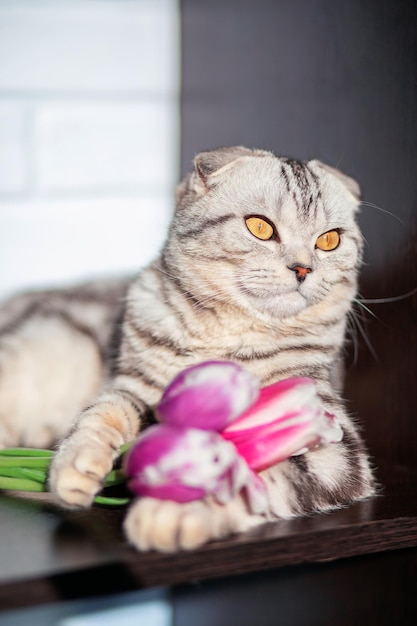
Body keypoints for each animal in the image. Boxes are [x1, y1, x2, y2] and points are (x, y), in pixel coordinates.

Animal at [0, 146, 372, 552]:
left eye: (329, 240)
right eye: (260, 227)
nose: (303, 269)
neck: (222, 337)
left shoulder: (336, 449)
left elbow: (249, 478)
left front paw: (169, 513)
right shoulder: (137, 388)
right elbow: (101, 414)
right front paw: (78, 463)